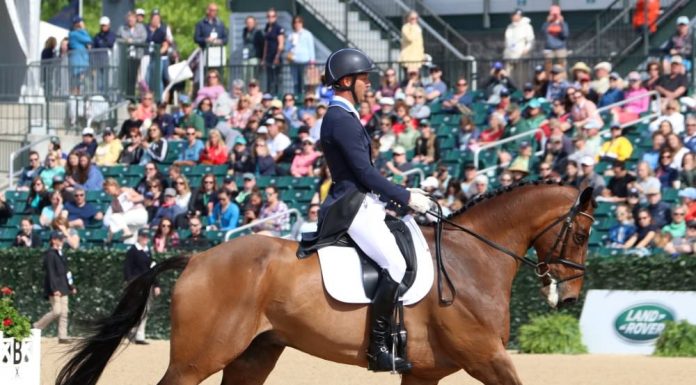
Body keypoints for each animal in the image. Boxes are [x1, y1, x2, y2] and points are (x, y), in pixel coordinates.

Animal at [57, 182, 596, 384]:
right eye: (583, 232)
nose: (570, 296)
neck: (470, 261)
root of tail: (197, 259)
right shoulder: (486, 357)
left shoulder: (424, 372)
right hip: (196, 359)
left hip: (253, 356)